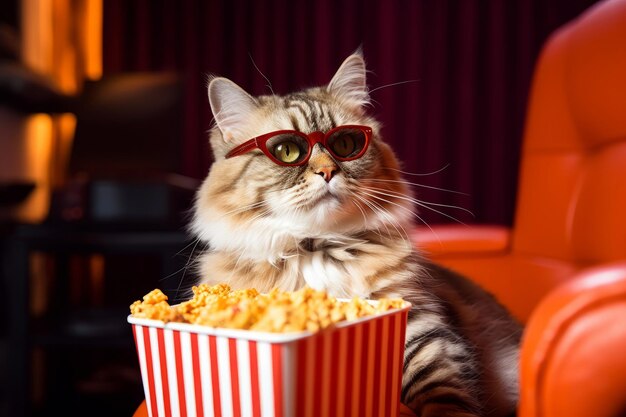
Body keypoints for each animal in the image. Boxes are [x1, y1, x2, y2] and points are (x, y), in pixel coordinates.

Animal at [191, 51, 520, 416]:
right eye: (287, 151)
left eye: (346, 144)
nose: (327, 172)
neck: (316, 246)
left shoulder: (420, 325)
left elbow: (441, 390)